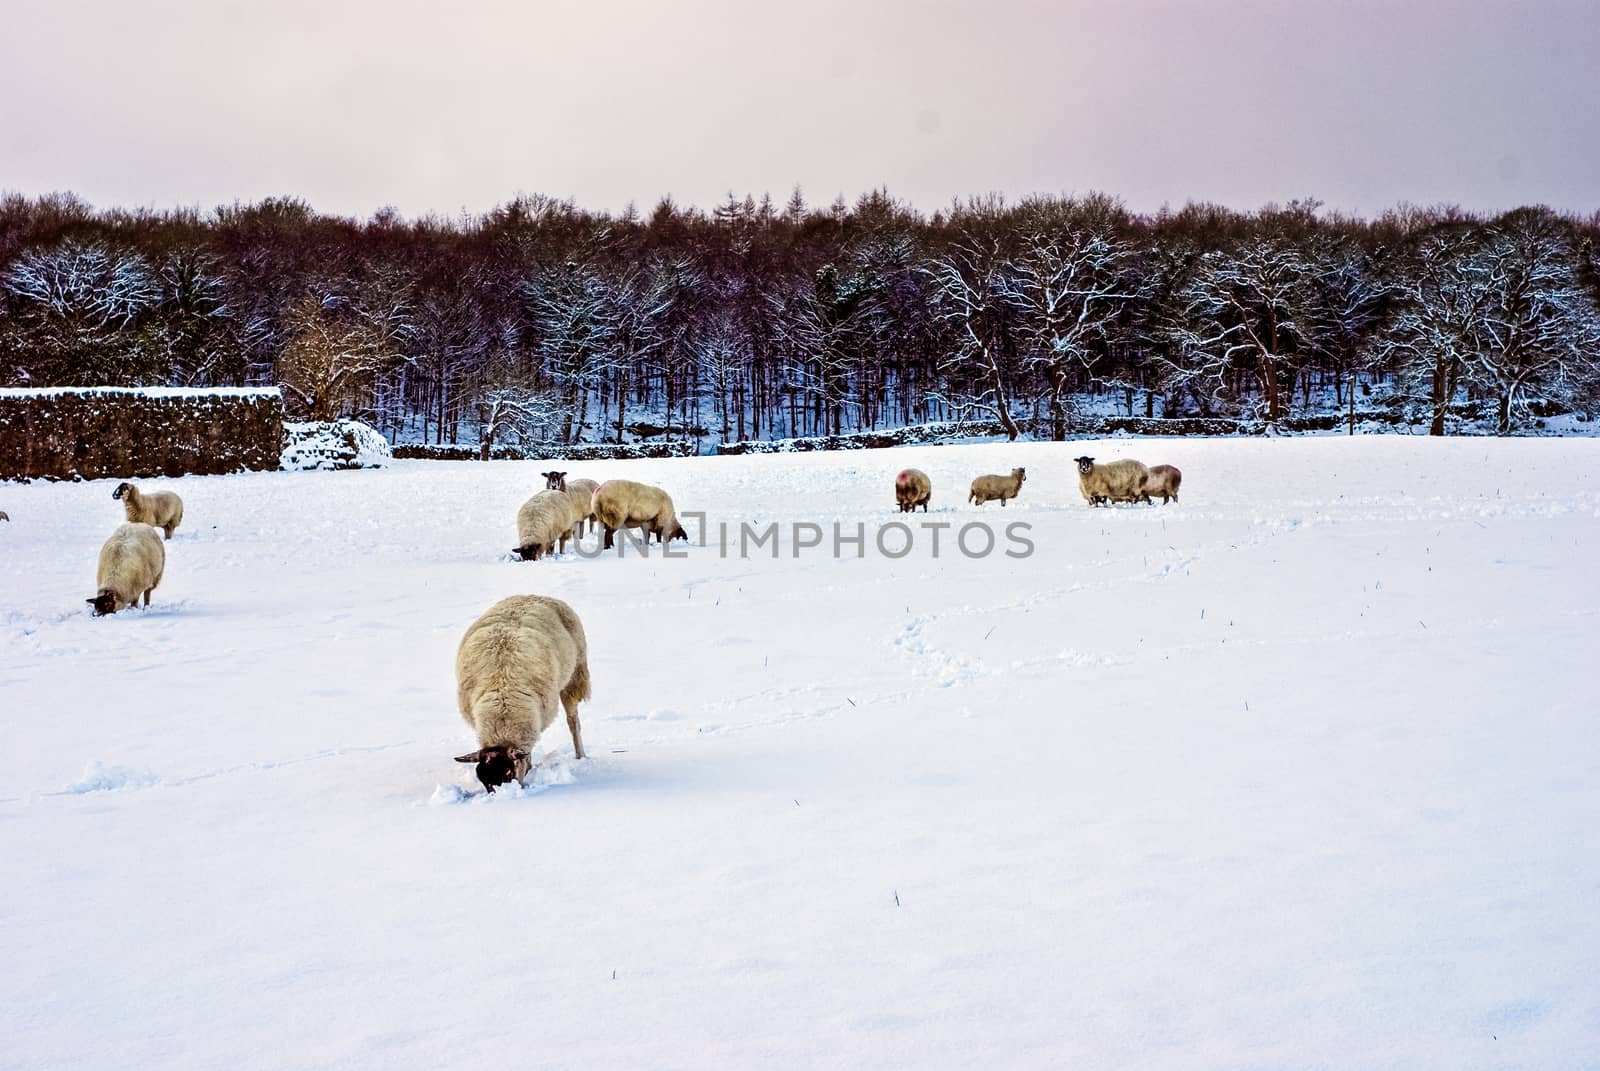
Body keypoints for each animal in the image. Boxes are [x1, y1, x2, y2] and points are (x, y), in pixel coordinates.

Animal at [454, 592, 592, 794]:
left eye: (508, 773)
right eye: (482, 779)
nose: (500, 796)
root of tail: (534, 595)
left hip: (574, 675)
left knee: (573, 721)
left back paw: (580, 756)